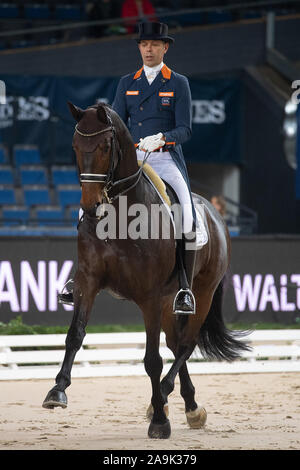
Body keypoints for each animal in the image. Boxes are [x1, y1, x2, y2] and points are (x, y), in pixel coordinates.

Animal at [42, 101, 248, 438]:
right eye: (74, 146)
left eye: (105, 146)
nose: (90, 207)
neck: (118, 215)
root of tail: (215, 214)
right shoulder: (89, 281)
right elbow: (75, 335)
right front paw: (57, 392)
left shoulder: (149, 296)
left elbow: (152, 359)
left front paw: (160, 422)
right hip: (167, 303)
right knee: (176, 344)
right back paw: (188, 406)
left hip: (200, 293)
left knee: (186, 344)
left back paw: (164, 398)